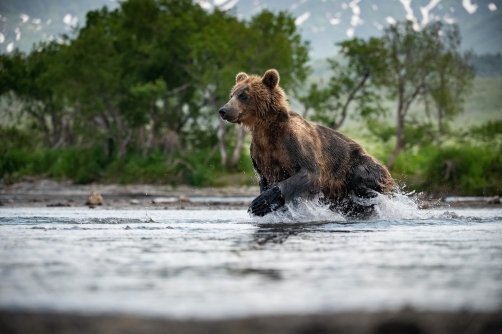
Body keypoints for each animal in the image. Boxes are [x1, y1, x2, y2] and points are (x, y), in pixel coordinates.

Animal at [220, 69, 396, 218]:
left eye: (243, 95)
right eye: (231, 94)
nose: (223, 110)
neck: (267, 129)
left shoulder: (294, 143)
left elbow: (310, 173)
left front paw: (260, 202)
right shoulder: (259, 153)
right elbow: (265, 179)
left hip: (360, 165)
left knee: (359, 175)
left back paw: (368, 192)